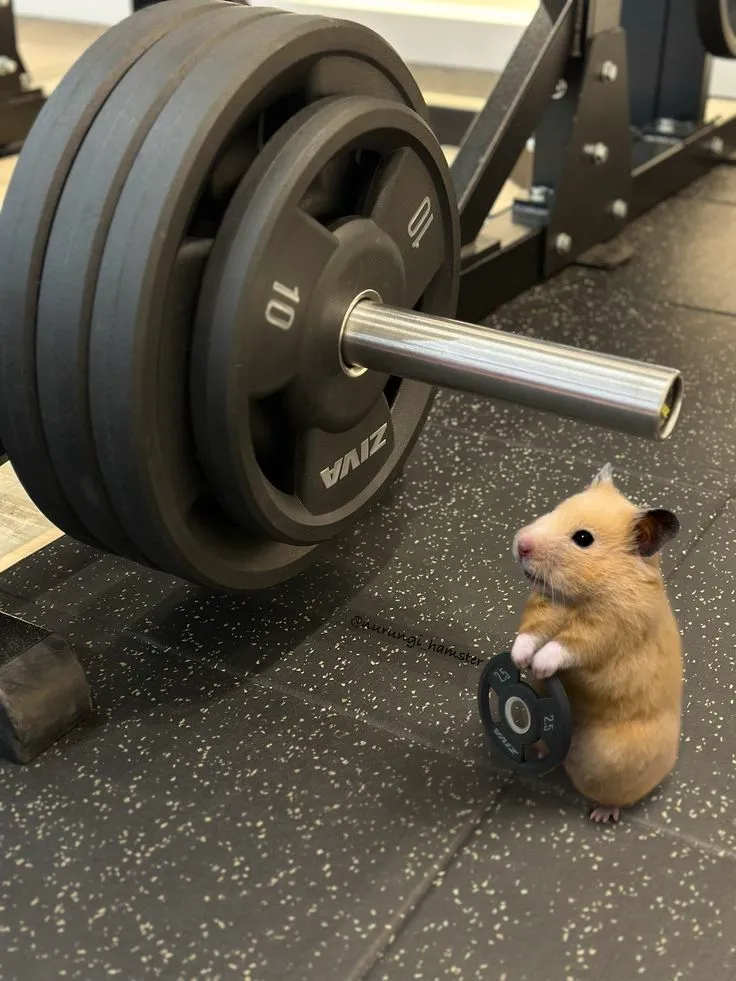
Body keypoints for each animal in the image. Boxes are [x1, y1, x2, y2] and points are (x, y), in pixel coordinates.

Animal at [510, 463, 683, 824]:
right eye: (556, 508)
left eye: (583, 539)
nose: (521, 545)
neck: (577, 598)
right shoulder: (542, 608)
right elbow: (529, 633)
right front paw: (519, 660)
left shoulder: (605, 631)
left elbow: (565, 646)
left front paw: (539, 666)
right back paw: (537, 749)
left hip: (611, 760)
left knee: (616, 795)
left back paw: (602, 814)